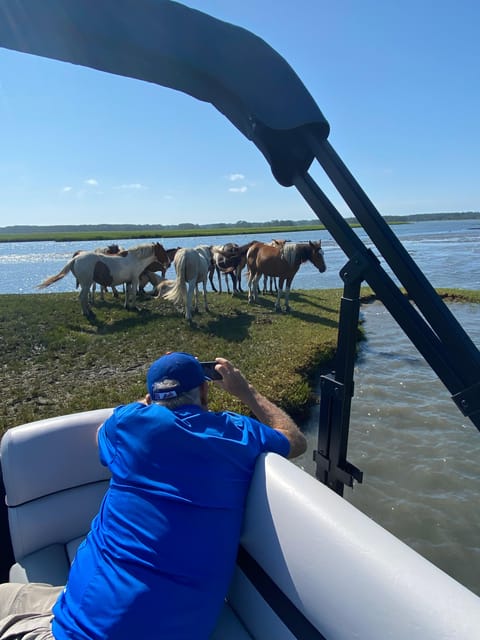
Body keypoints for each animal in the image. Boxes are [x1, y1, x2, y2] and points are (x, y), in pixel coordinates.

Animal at [37, 241, 169, 318]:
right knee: (82, 297)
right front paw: (135, 307)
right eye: (162, 251)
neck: (135, 259)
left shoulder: (128, 281)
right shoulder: (135, 280)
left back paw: (89, 311)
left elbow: (127, 293)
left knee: (85, 297)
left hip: (86, 284)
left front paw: (127, 306)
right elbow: (133, 293)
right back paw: (86, 313)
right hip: (86, 284)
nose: (168, 263)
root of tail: (75, 259)